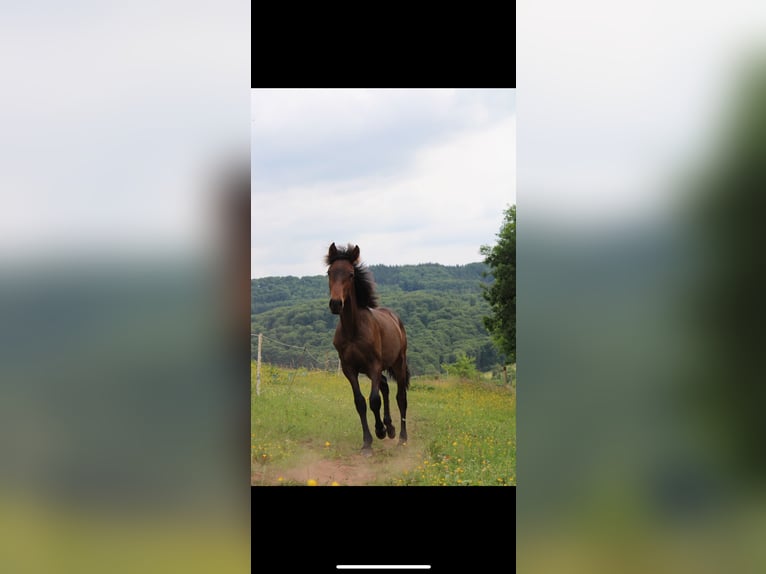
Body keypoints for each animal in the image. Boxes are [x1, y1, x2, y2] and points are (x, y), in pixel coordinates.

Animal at [325, 242, 411, 455]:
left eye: (351, 274)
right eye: (329, 272)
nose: (336, 304)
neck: (353, 330)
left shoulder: (374, 366)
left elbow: (374, 400)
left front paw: (379, 431)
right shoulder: (350, 369)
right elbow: (360, 402)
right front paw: (367, 442)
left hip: (398, 364)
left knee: (400, 397)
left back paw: (401, 438)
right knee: (385, 387)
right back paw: (390, 428)